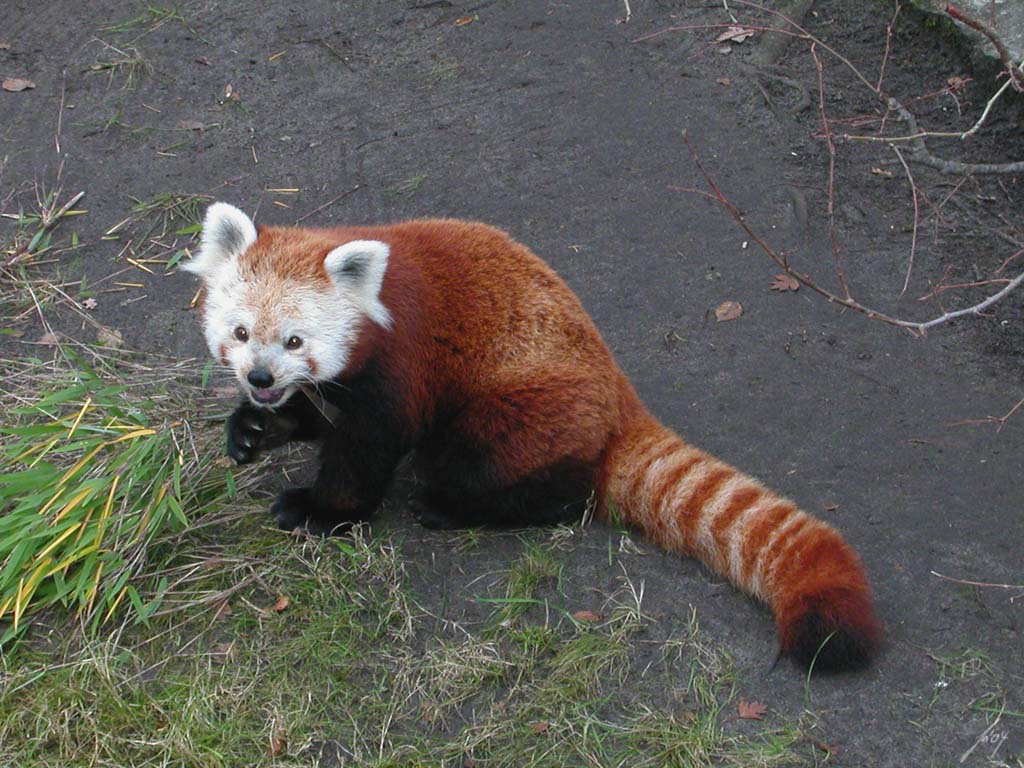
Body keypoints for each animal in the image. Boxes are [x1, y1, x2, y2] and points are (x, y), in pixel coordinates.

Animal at [184, 204, 880, 671]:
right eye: (242, 334)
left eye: (295, 340)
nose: (261, 377)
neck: (376, 304)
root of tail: (620, 397)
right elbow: (313, 413)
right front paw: (255, 428)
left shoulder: (401, 366)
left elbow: (366, 450)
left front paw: (320, 510)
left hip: (522, 408)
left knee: (498, 464)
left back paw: (461, 504)